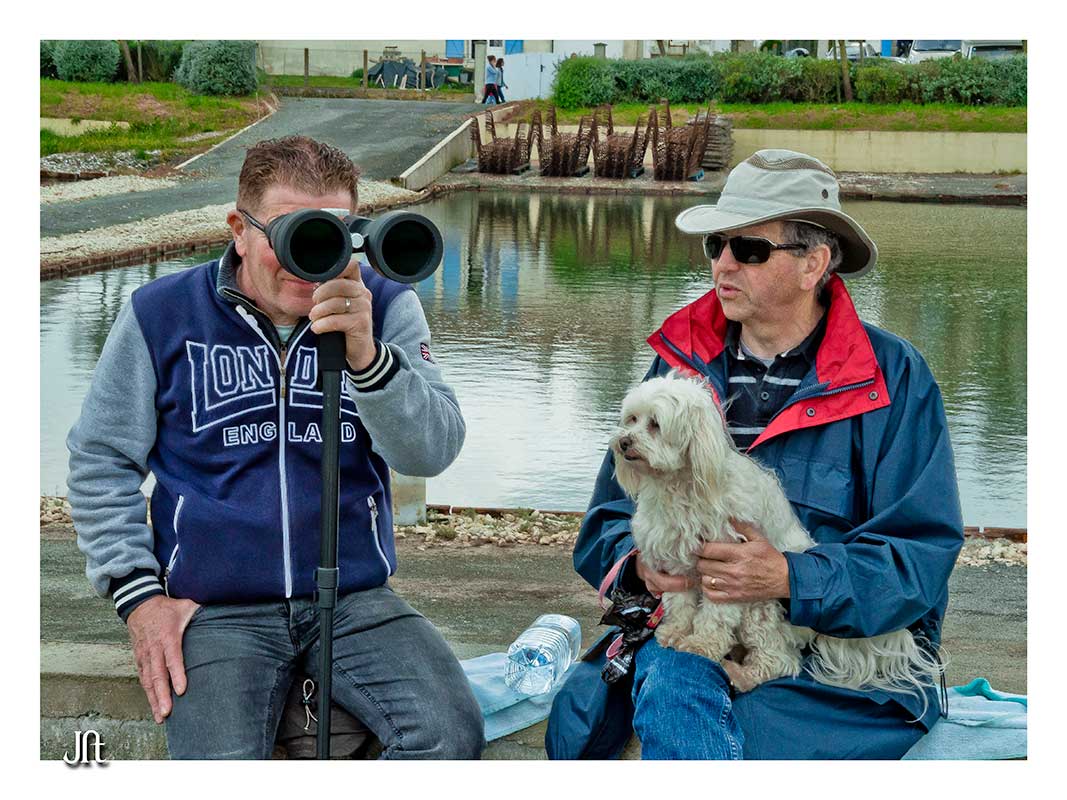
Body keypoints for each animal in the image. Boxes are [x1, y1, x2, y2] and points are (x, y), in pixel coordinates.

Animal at [610, 372, 941, 704]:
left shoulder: (725, 571)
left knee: (780, 660)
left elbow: (715, 617)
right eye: (632, 419)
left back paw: (740, 673)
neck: (680, 485)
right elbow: (679, 605)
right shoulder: (675, 565)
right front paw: (676, 633)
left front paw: (701, 644)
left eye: (655, 424)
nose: (623, 441)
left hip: (762, 606)